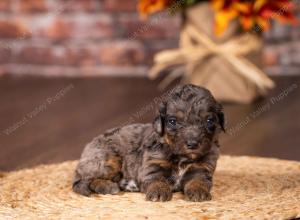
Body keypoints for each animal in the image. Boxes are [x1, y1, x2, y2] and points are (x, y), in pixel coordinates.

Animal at [72, 85, 225, 202]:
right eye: (173, 121)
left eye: (209, 121)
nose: (192, 144)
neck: (181, 157)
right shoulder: (152, 165)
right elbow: (157, 179)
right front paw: (159, 192)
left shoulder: (202, 168)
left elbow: (199, 180)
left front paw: (199, 192)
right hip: (107, 159)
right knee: (83, 181)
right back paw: (108, 186)